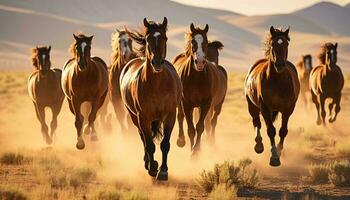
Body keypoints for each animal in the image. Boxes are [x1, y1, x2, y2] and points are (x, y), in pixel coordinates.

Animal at [120, 16, 182, 180]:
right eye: (148, 39)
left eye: (165, 38)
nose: (157, 63)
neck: (157, 85)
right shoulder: (143, 117)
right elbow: (149, 144)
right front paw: (153, 167)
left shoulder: (170, 115)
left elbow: (165, 144)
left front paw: (163, 171)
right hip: (135, 118)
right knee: (143, 139)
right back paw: (148, 162)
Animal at [172, 23, 227, 155]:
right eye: (193, 41)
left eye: (205, 42)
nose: (200, 62)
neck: (196, 78)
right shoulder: (186, 104)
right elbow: (191, 128)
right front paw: (193, 150)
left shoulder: (206, 104)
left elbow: (200, 126)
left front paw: (196, 150)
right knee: (180, 117)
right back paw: (181, 141)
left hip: (217, 105)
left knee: (212, 122)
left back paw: (211, 143)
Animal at [245, 27, 300, 167]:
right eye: (273, 44)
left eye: (286, 44)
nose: (279, 64)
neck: (277, 81)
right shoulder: (264, 107)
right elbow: (271, 130)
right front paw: (274, 157)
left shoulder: (288, 109)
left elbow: (283, 131)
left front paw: (279, 152)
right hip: (252, 106)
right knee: (257, 123)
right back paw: (259, 145)